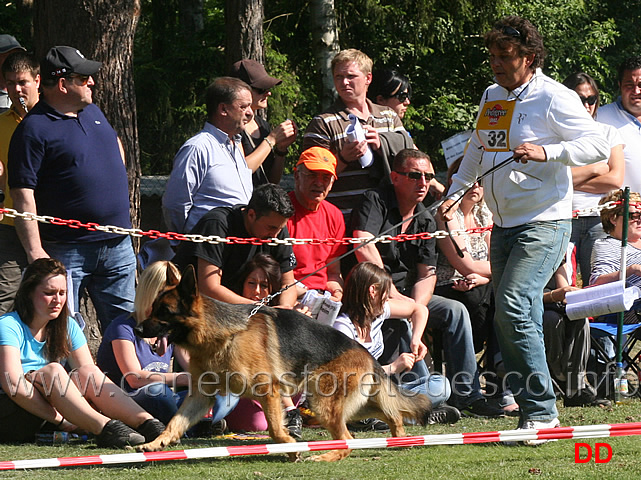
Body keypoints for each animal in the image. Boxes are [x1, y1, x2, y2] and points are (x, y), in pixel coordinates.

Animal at [137, 266, 432, 462]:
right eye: (153, 308)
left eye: (164, 311)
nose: (138, 328)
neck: (221, 334)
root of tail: (366, 353)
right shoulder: (201, 396)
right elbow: (174, 421)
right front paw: (158, 442)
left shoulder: (268, 391)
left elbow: (276, 430)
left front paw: (291, 448)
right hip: (349, 405)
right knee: (391, 413)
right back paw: (400, 439)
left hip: (324, 404)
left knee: (350, 439)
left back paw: (326, 456)